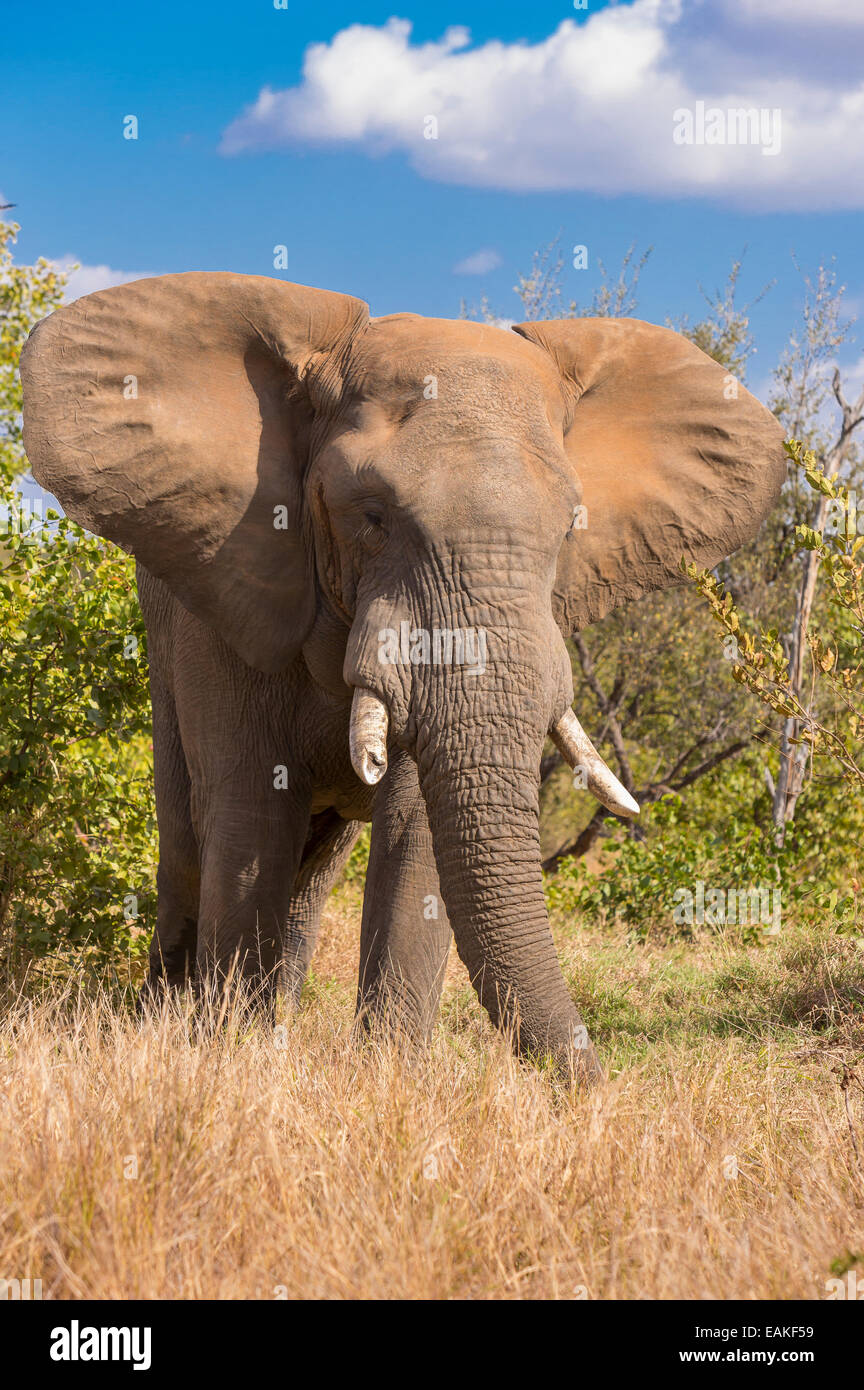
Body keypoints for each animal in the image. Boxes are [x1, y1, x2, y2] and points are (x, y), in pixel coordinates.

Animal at [16, 271, 788, 1073]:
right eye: (372, 515)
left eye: (569, 526)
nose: (592, 1084)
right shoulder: (229, 594)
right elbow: (251, 811)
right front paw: (230, 1060)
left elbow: (415, 832)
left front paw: (383, 1075)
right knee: (189, 843)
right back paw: (169, 1027)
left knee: (313, 868)